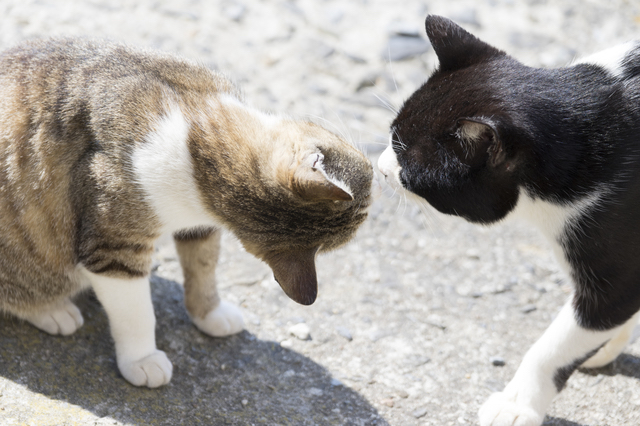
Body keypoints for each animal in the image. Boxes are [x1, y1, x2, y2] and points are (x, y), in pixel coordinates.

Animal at [0, 38, 372, 388]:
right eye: (367, 180)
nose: (378, 171)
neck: (198, 145)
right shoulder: (115, 246)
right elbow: (136, 312)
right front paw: (142, 359)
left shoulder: (202, 224)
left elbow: (203, 267)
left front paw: (209, 314)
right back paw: (54, 311)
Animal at [380, 15, 640, 426]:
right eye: (393, 137)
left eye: (408, 164)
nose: (380, 168)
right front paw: (605, 345)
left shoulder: (614, 251)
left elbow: (559, 342)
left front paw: (516, 404)